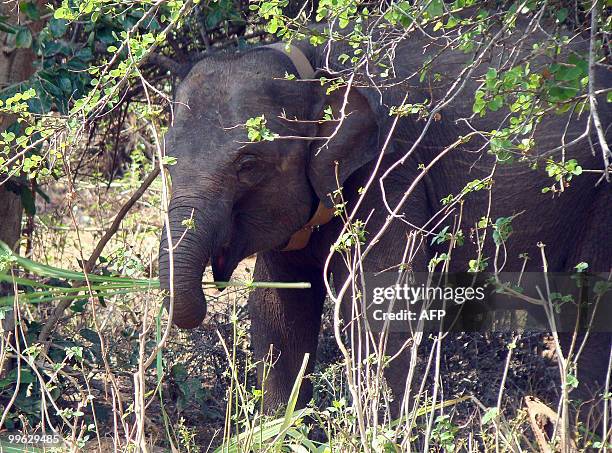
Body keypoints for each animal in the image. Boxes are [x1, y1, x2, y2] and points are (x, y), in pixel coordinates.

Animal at [159, 19, 612, 418]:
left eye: (248, 163)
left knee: (593, 319)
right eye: (165, 157)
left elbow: (379, 300)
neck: (311, 58)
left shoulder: (391, 171)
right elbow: (277, 311)